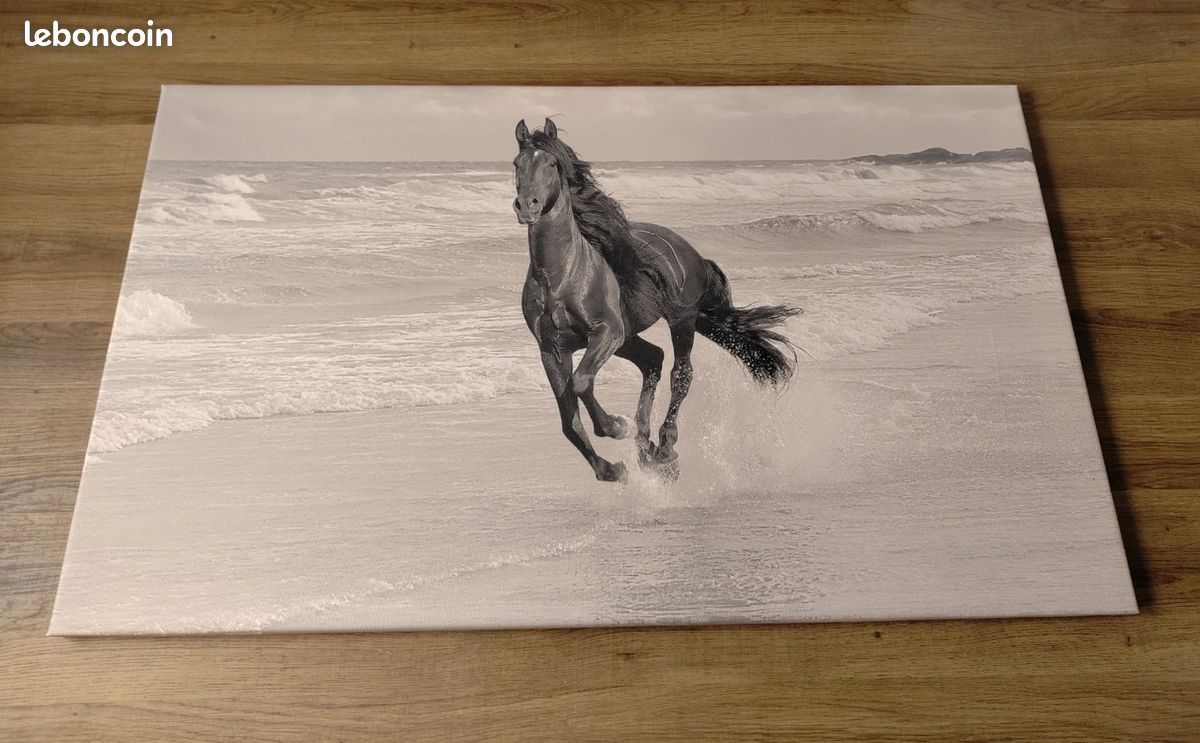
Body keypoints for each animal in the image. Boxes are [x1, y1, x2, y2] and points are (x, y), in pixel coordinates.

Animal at [512, 118, 800, 482]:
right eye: (516, 164)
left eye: (551, 164)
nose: (527, 206)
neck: (561, 276)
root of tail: (691, 252)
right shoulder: (552, 349)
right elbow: (569, 421)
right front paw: (611, 469)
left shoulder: (605, 332)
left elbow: (580, 382)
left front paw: (616, 426)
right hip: (630, 338)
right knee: (653, 360)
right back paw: (645, 447)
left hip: (680, 321)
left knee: (681, 374)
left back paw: (664, 449)